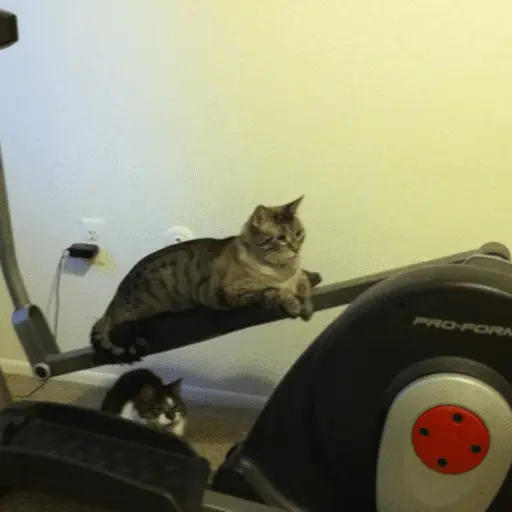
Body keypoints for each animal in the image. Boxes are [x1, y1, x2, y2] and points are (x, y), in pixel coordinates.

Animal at [91, 195, 318, 363]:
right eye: (280, 239)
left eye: (299, 233)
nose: (296, 247)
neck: (283, 270)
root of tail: (111, 304)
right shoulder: (227, 293)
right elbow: (275, 291)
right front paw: (293, 303)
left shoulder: (299, 276)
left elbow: (305, 284)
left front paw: (307, 306)